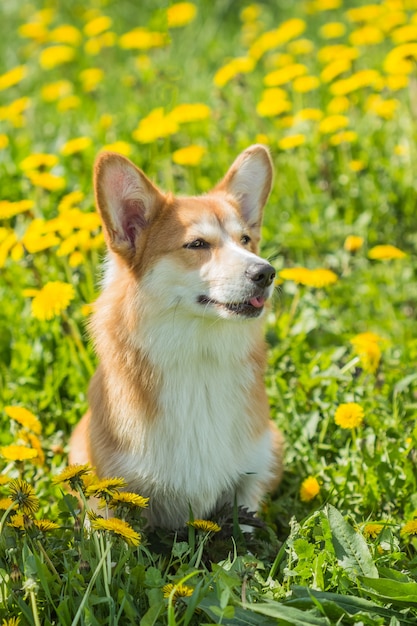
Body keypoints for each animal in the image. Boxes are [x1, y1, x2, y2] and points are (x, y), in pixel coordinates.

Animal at [70, 145, 282, 528]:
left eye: (245, 239)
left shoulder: (252, 478)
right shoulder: (108, 495)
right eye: (197, 244)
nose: (266, 272)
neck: (199, 357)